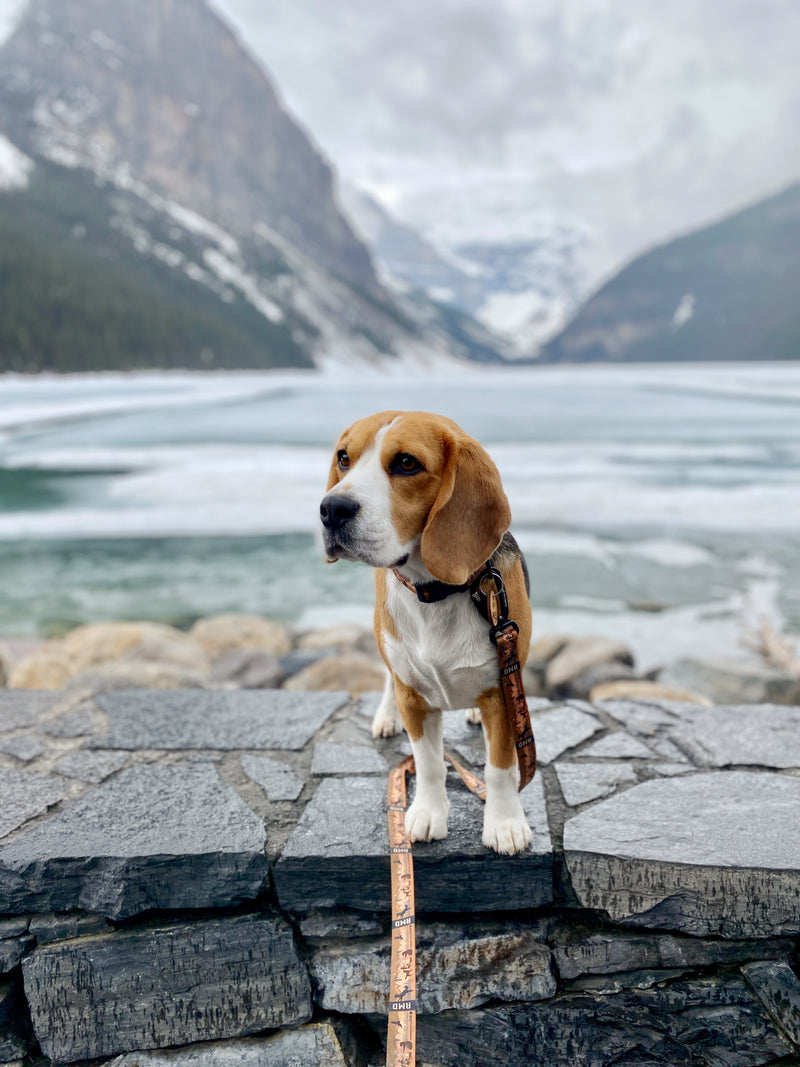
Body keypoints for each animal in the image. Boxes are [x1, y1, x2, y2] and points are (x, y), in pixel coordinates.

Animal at [320, 411, 533, 853]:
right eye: (344, 457)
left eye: (406, 463)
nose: (331, 508)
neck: (433, 593)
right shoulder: (415, 700)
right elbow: (430, 762)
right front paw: (427, 813)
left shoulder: (504, 695)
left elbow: (500, 768)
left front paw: (505, 823)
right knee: (388, 678)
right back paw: (386, 717)